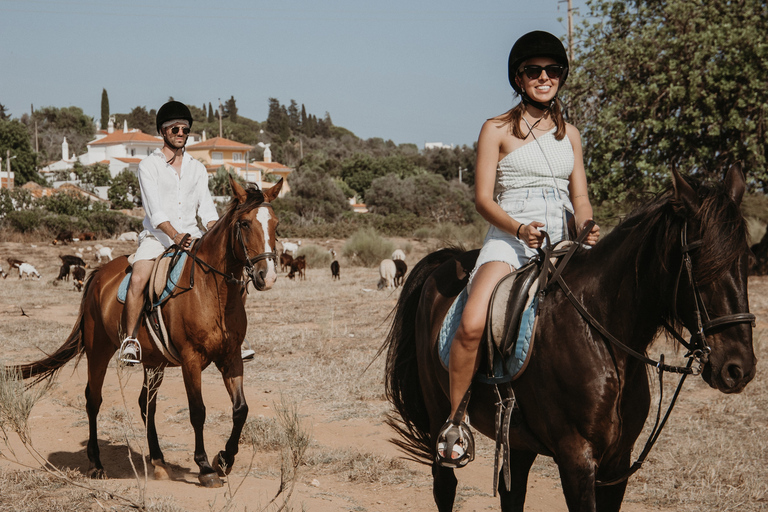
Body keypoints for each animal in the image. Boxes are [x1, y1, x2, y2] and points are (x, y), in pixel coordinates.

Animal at [10, 177, 282, 488]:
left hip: (154, 362)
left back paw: (159, 461)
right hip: (99, 350)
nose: (267, 276)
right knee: (93, 399)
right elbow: (197, 411)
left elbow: (241, 409)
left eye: (276, 225)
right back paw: (96, 463)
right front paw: (205, 467)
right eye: (245, 224)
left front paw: (224, 459)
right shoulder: (191, 360)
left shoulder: (231, 357)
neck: (211, 291)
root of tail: (99, 274)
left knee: (146, 404)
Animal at [384, 166, 756, 510]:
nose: (739, 369)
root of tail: (445, 261)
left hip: (517, 438)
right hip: (439, 415)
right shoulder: (576, 459)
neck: (603, 337)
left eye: (745, 259)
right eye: (700, 260)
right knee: (445, 485)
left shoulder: (617, 462)